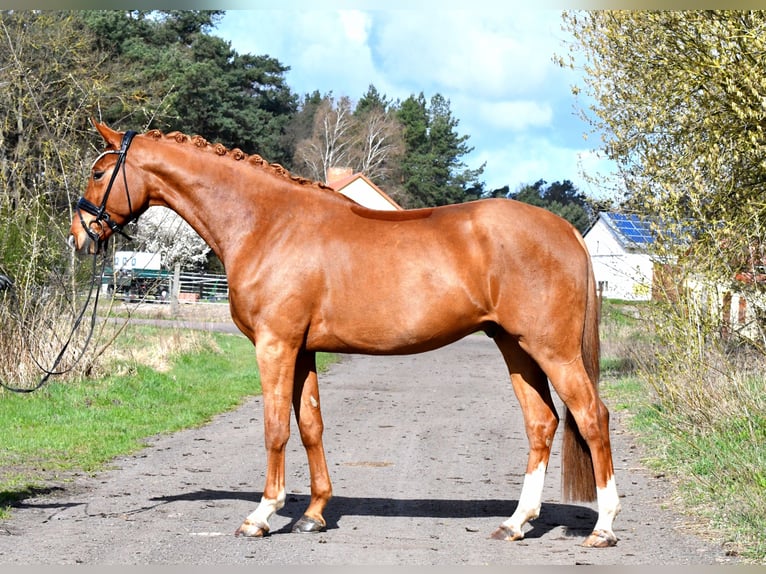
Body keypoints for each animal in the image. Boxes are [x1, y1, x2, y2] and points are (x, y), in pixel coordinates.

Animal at [69, 121, 620, 548]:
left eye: (98, 172)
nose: (79, 237)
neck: (268, 223)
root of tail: (566, 231)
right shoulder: (304, 352)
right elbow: (311, 425)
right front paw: (313, 514)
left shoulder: (276, 346)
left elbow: (275, 428)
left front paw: (262, 515)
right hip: (515, 348)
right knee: (542, 424)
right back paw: (516, 523)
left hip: (553, 351)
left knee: (592, 417)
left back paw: (604, 526)